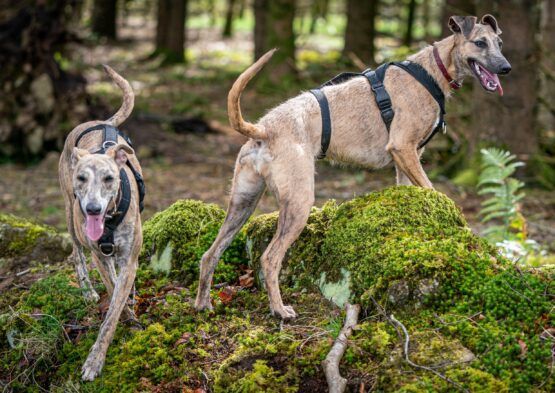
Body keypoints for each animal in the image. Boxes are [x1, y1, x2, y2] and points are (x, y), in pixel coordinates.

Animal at [58, 66, 143, 378]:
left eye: (109, 178)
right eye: (82, 178)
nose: (93, 208)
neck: (108, 219)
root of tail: (101, 122)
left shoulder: (130, 258)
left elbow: (117, 300)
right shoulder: (99, 255)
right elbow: (112, 291)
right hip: (70, 213)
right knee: (75, 252)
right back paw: (87, 289)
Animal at [197, 14, 512, 318]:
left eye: (499, 42)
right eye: (480, 43)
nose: (506, 68)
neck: (433, 71)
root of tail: (263, 129)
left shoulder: (405, 160)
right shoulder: (403, 147)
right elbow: (434, 190)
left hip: (243, 203)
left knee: (210, 254)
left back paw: (203, 304)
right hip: (298, 204)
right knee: (270, 258)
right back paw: (279, 309)